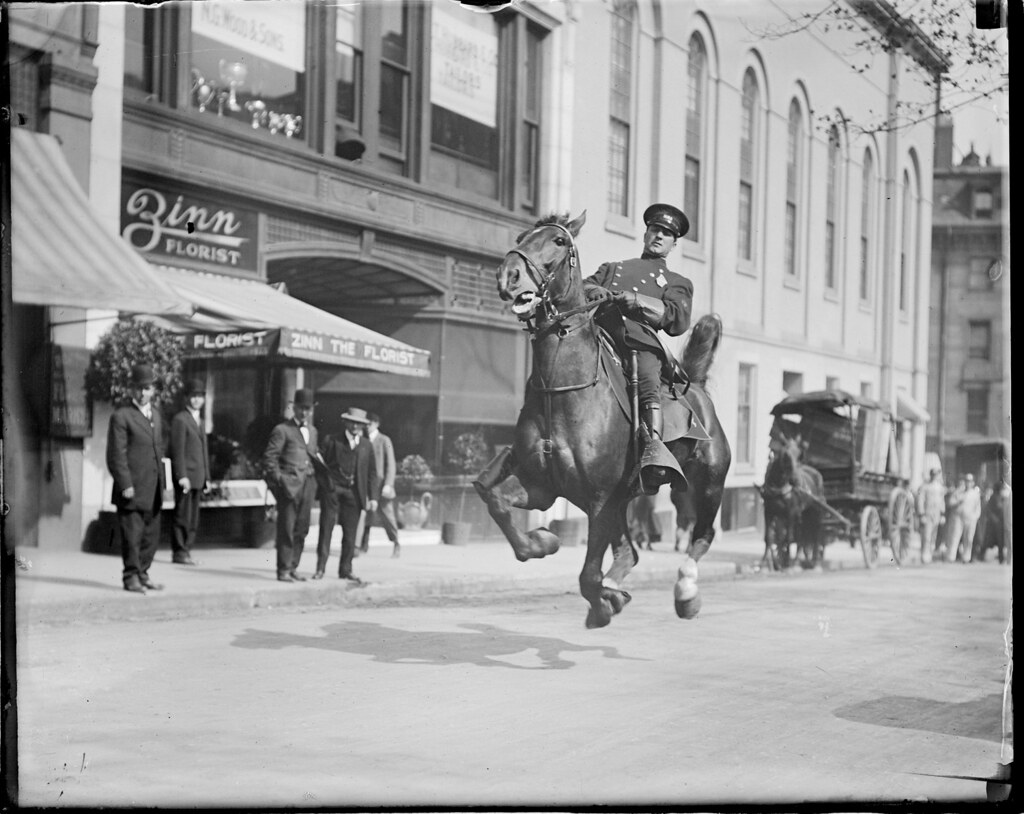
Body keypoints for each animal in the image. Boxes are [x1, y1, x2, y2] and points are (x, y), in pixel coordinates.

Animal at [475, 211, 733, 630]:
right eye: (521, 237)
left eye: (559, 242)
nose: (508, 276)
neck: (562, 391)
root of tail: (695, 385)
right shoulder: (542, 485)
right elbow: (498, 502)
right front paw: (543, 542)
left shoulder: (599, 499)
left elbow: (587, 575)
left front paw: (600, 605)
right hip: (625, 499)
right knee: (630, 551)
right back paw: (616, 589)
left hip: (706, 485)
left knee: (702, 535)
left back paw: (685, 592)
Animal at [761, 436, 823, 569]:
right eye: (785, 455)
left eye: (800, 455)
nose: (795, 480)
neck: (778, 485)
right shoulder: (769, 511)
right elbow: (770, 537)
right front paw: (766, 564)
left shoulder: (790, 513)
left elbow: (789, 538)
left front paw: (787, 564)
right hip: (803, 514)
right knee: (803, 535)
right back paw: (800, 561)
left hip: (816, 511)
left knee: (815, 533)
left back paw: (814, 562)